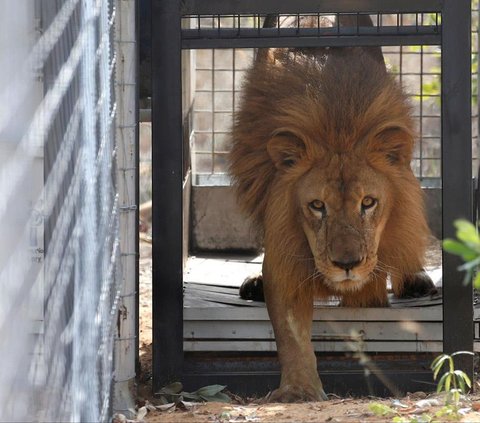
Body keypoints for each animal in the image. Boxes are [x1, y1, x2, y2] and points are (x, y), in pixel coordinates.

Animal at [228, 16, 436, 402]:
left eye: (368, 202)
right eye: (317, 206)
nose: (347, 264)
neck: (339, 130)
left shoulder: (370, 282)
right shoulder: (285, 258)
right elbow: (291, 335)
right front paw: (299, 389)